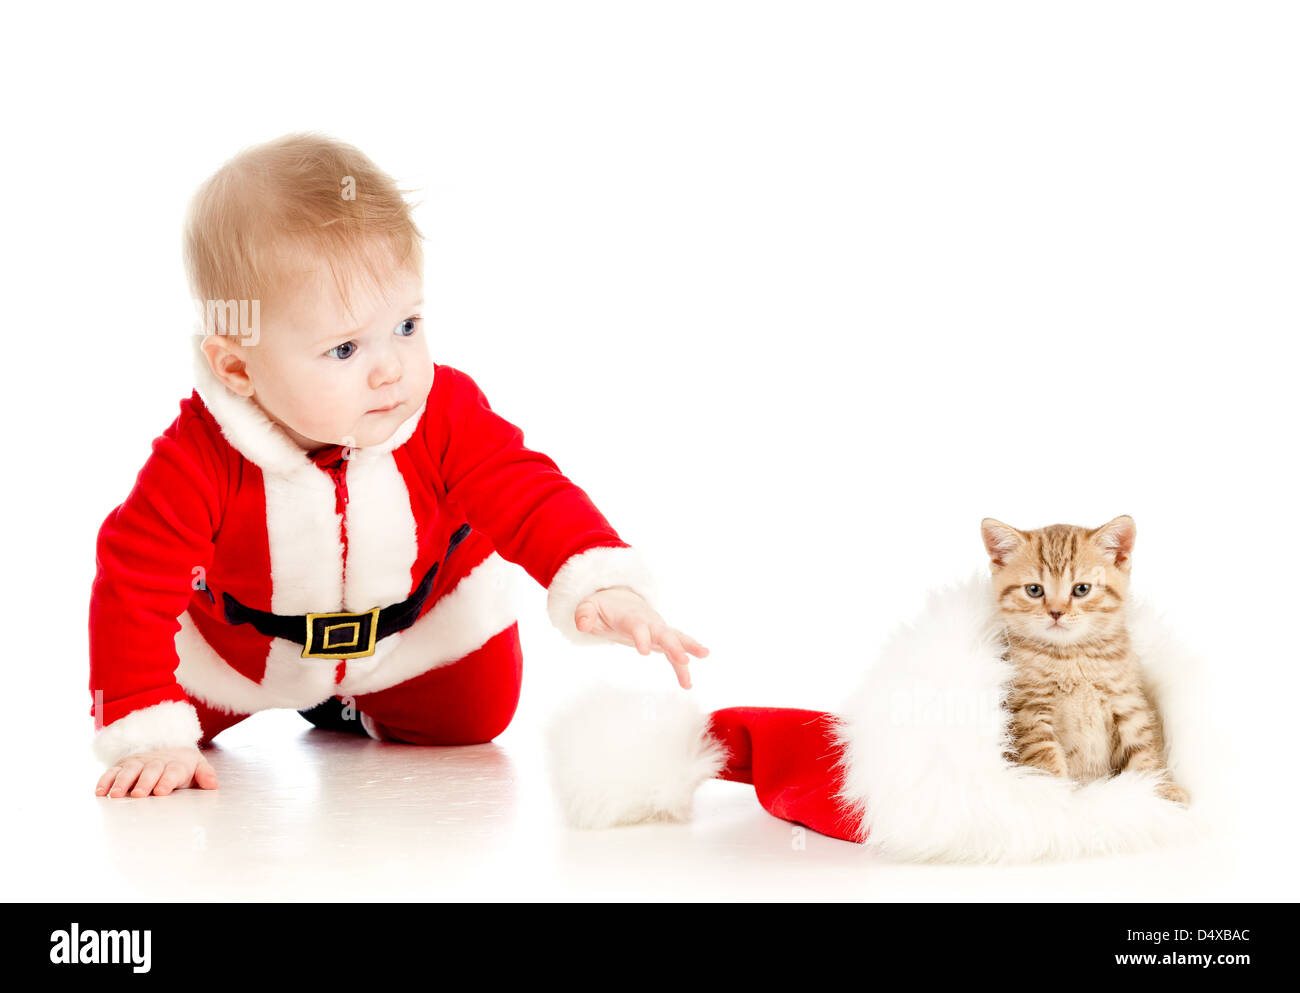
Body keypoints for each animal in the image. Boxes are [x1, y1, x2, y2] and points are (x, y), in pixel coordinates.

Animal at [977, 514, 1190, 800]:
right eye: (1034, 590)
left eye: (1081, 589)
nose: (1056, 612)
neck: (1072, 656)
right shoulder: (1028, 711)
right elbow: (1045, 759)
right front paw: (1057, 796)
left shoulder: (1128, 703)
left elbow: (1144, 749)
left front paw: (1160, 791)